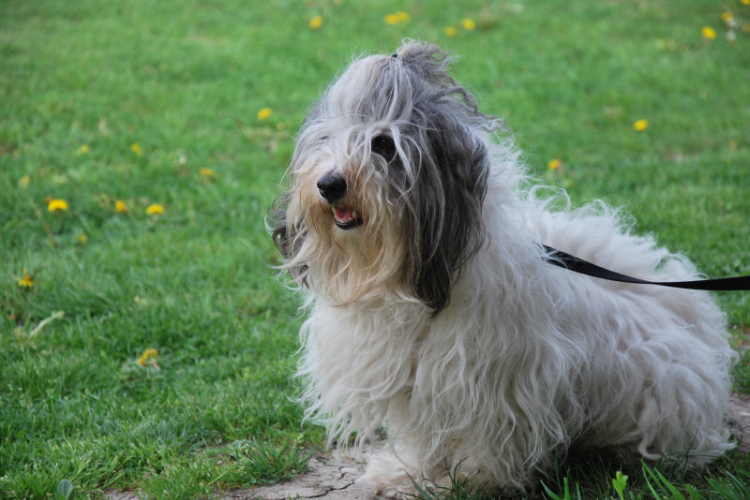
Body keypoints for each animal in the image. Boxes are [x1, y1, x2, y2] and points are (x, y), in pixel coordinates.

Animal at [272, 42, 740, 496]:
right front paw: (408, 472)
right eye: (327, 139)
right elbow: (424, 433)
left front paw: (474, 479)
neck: (409, 278)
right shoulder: (418, 382)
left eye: (384, 145)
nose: (329, 184)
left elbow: (490, 433)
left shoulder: (497, 377)